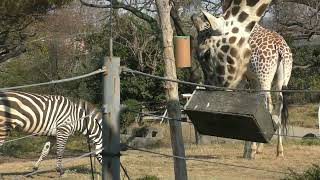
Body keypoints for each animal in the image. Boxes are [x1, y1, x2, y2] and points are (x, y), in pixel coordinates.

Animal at [190, 0, 292, 158]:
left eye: (205, 53)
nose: (210, 87)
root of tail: (280, 48)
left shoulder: (245, 78)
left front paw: (250, 150)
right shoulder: (252, 79)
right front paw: (250, 149)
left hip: (265, 76)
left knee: (269, 103)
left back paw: (258, 149)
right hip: (281, 78)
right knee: (279, 105)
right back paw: (279, 150)